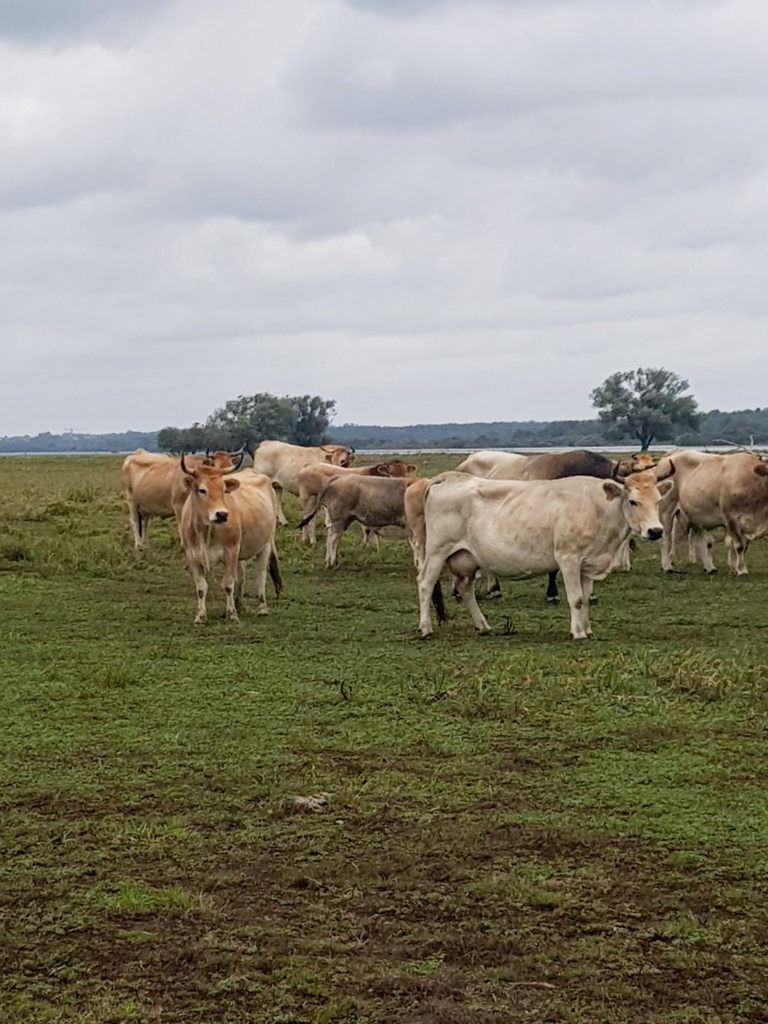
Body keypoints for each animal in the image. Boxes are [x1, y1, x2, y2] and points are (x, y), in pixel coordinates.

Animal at [178, 462, 282, 622]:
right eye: (202, 490)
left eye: (223, 490)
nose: (221, 514)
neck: (205, 531)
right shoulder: (191, 555)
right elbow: (201, 587)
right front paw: (200, 615)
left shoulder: (231, 551)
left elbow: (227, 584)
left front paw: (231, 614)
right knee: (241, 578)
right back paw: (238, 605)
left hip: (265, 545)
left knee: (260, 574)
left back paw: (262, 608)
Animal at [417, 466, 675, 638]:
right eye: (633, 501)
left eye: (658, 500)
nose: (655, 531)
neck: (598, 508)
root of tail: (448, 477)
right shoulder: (568, 558)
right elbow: (576, 598)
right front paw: (577, 633)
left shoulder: (588, 563)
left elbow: (586, 599)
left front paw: (588, 629)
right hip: (438, 551)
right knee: (425, 583)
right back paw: (425, 628)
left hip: (466, 559)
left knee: (465, 588)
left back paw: (483, 625)